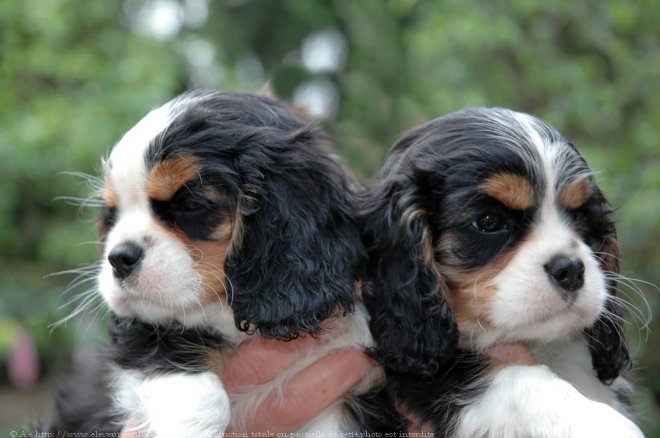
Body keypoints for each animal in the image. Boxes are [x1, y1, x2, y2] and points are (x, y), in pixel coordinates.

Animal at [360, 108, 644, 436]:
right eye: (489, 222)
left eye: (581, 218)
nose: (571, 269)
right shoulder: (414, 370)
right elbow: (507, 373)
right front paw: (597, 420)